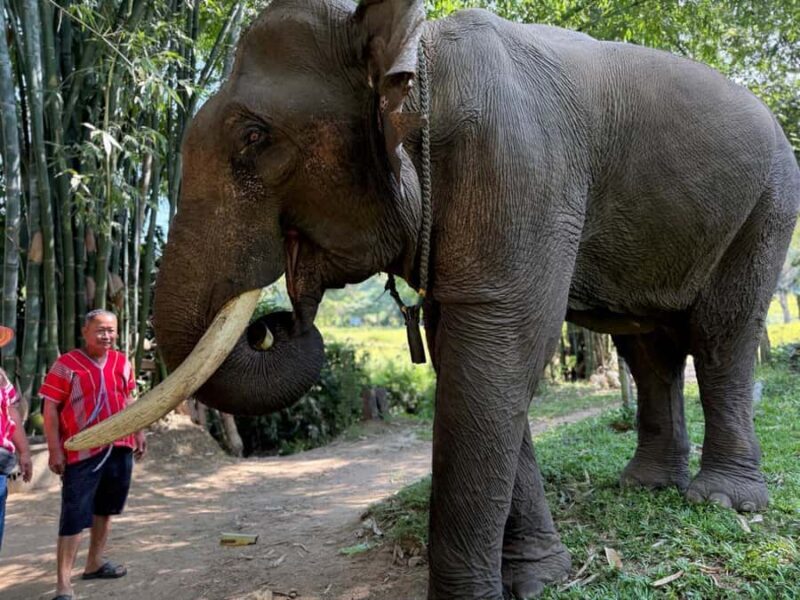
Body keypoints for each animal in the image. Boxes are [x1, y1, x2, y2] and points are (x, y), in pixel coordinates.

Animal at [68, 0, 800, 597]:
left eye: (255, 138)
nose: (275, 323)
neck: (416, 56)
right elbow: (467, 355)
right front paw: (536, 579)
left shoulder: (518, 166)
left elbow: (499, 347)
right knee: (647, 348)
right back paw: (644, 485)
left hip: (768, 203)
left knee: (722, 335)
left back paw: (723, 502)